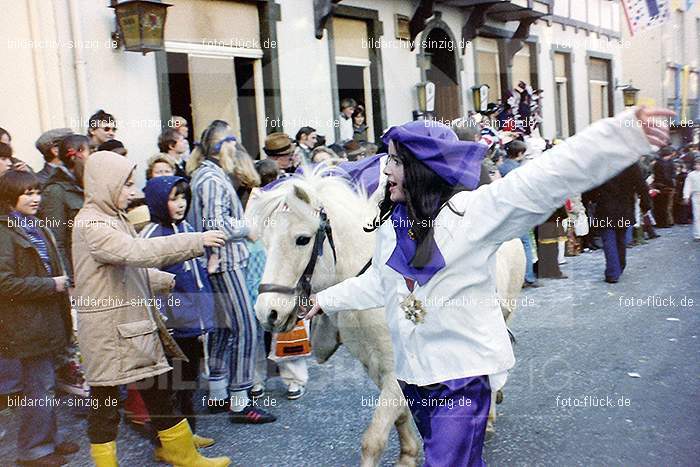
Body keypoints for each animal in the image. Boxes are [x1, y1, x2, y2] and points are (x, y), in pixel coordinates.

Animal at [249, 170, 524, 466]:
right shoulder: (375, 366)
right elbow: (400, 416)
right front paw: (408, 454)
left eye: (302, 239)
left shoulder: (395, 370)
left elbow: (373, 440)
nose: (268, 313)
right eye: (265, 242)